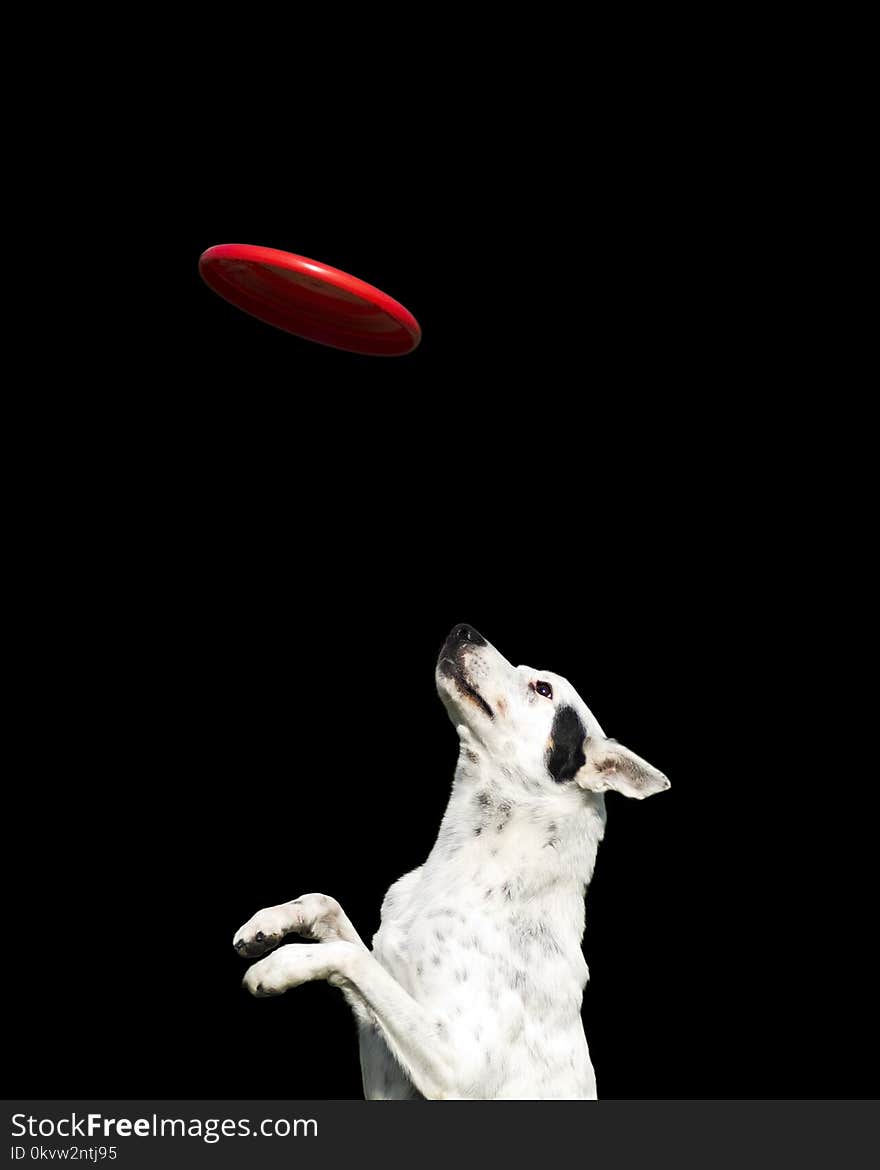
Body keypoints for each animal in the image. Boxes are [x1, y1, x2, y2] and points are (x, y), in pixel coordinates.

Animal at [234, 627, 664, 1099]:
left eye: (543, 689)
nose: (464, 630)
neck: (466, 872)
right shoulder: (382, 1053)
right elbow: (330, 911)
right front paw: (267, 925)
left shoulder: (457, 1065)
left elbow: (349, 956)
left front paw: (278, 967)